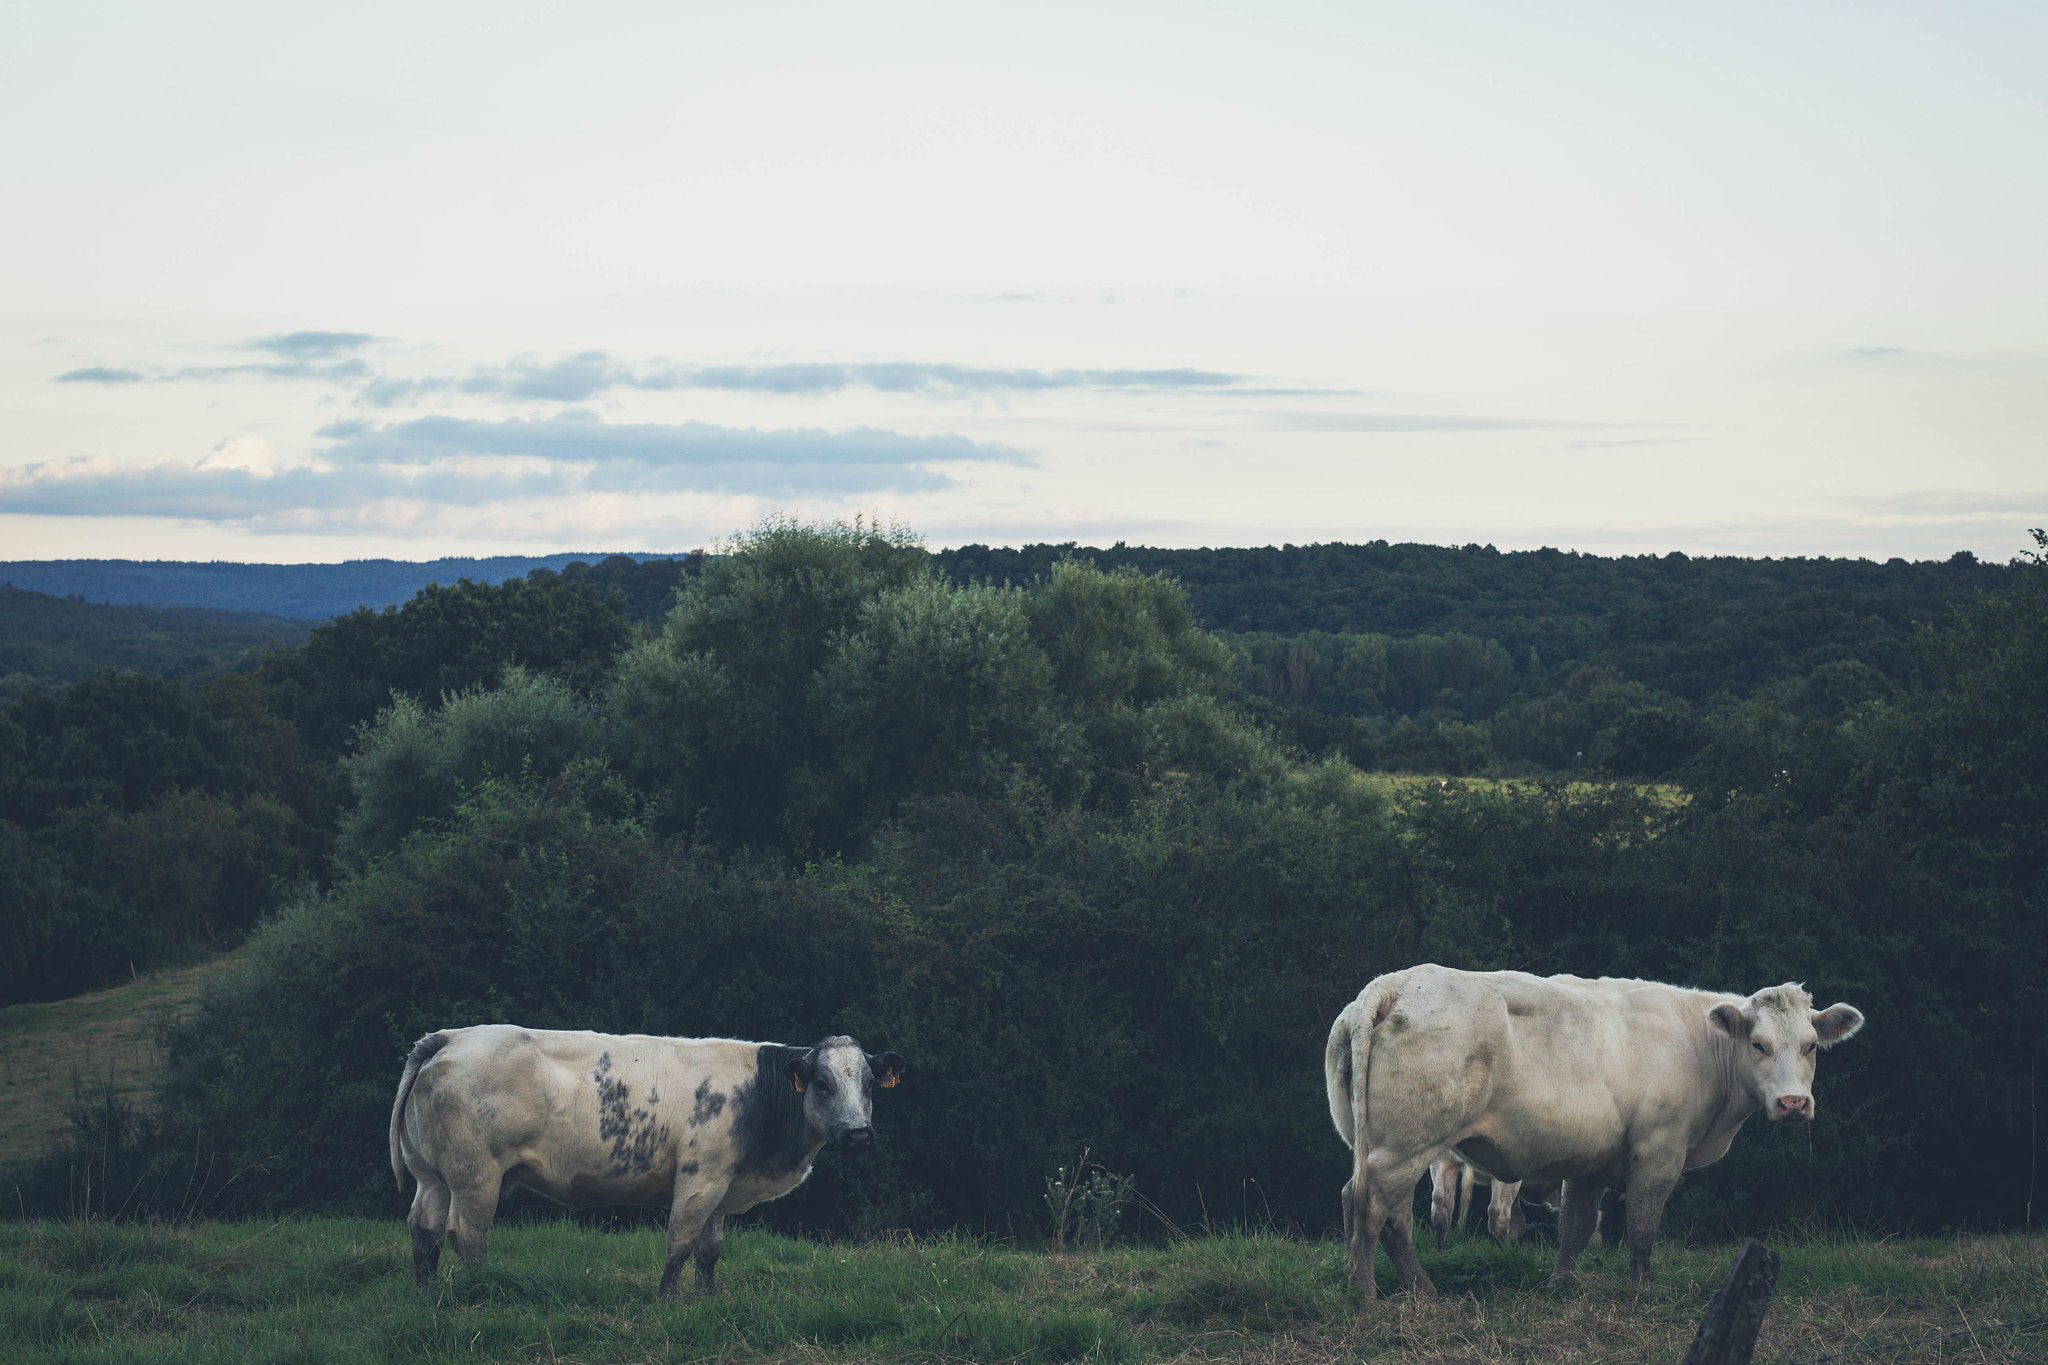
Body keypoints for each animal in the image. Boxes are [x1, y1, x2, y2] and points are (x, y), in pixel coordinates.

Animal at [389, 1026, 905, 1297]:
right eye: (822, 1083)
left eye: (869, 1084)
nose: (859, 1134)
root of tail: (454, 1036)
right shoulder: (700, 1177)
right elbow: (680, 1243)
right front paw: (666, 1300)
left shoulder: (722, 1183)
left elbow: (709, 1249)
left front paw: (708, 1298)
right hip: (476, 1175)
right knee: (465, 1233)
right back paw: (485, 1288)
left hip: (430, 1175)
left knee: (424, 1228)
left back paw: (425, 1292)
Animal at [1324, 965, 1863, 1299]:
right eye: (1758, 1044)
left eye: (1811, 1045)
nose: (1793, 1104)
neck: (1698, 1045)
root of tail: (1393, 983)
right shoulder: (1658, 1150)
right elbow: (1642, 1227)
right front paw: (1640, 1290)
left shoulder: (1590, 1159)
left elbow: (1576, 1225)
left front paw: (1560, 1285)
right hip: (1407, 1146)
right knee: (1372, 1205)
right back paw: (1367, 1294)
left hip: (1385, 1146)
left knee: (1385, 1211)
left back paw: (1421, 1293)